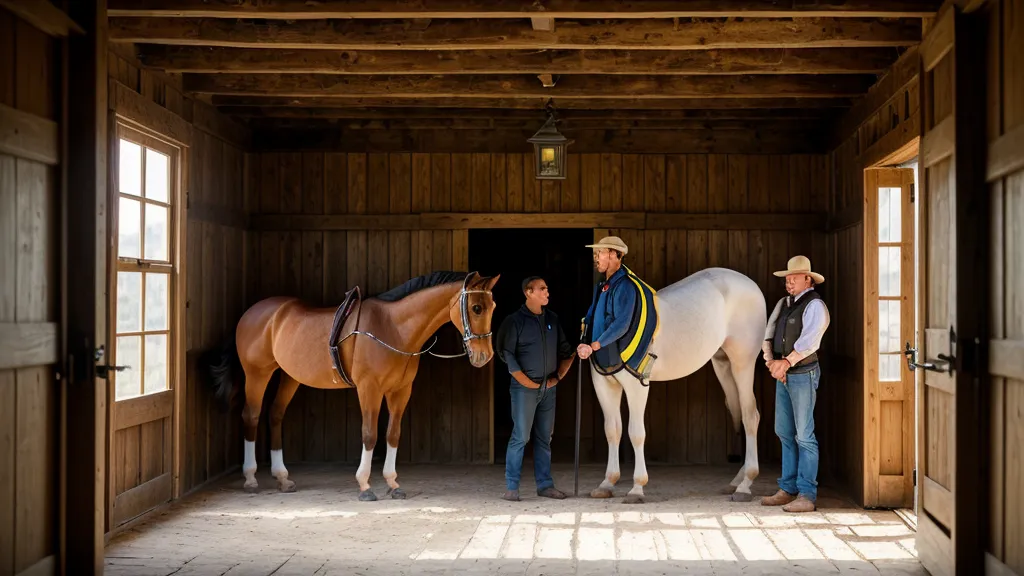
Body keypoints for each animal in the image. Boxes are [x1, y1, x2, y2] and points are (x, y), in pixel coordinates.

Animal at [202, 271, 500, 501]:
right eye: (476, 308)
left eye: (493, 306)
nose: (484, 356)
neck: (392, 327)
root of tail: (251, 313)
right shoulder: (369, 389)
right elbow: (370, 434)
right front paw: (365, 486)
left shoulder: (400, 391)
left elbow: (393, 434)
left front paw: (393, 484)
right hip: (257, 374)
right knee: (251, 416)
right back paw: (251, 478)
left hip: (289, 376)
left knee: (275, 415)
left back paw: (282, 478)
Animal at [588, 267, 767, 504]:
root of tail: (752, 285)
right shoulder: (605, 386)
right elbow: (612, 430)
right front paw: (608, 482)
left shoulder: (637, 386)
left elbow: (636, 433)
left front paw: (637, 487)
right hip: (723, 365)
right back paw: (737, 481)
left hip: (743, 364)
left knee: (750, 416)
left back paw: (745, 485)